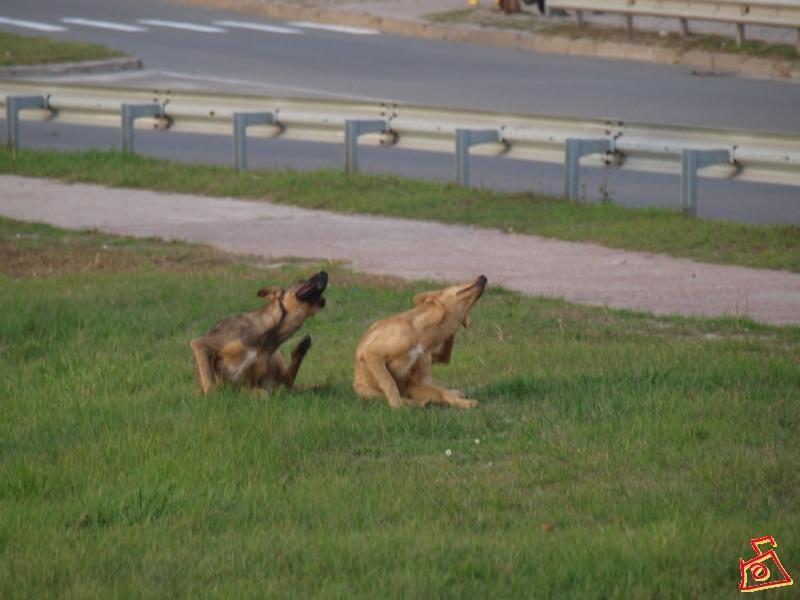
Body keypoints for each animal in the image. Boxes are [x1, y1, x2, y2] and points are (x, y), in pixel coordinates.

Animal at [191, 270, 328, 394]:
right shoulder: (201, 344)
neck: (268, 338)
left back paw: (301, 349)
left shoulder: (250, 384)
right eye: (301, 281)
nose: (324, 272)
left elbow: (264, 393)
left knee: (288, 381)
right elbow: (210, 382)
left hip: (276, 359)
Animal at [354, 276, 488, 408]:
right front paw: (396, 405)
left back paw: (458, 398)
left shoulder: (414, 382)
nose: (484, 277)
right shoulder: (371, 354)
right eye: (457, 284)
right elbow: (389, 383)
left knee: (442, 392)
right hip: (369, 392)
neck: (421, 333)